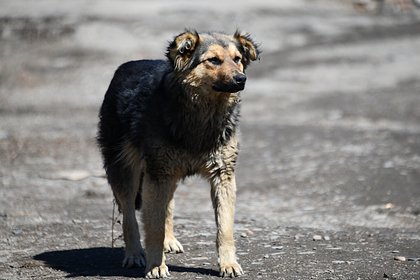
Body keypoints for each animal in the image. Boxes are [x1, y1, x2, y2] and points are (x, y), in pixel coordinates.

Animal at [97, 29, 260, 278]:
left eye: (238, 59)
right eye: (214, 60)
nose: (241, 79)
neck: (202, 116)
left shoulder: (223, 175)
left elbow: (225, 228)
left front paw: (228, 264)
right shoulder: (158, 174)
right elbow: (152, 227)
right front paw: (156, 265)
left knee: (166, 206)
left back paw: (169, 240)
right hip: (125, 170)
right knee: (129, 215)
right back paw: (134, 253)